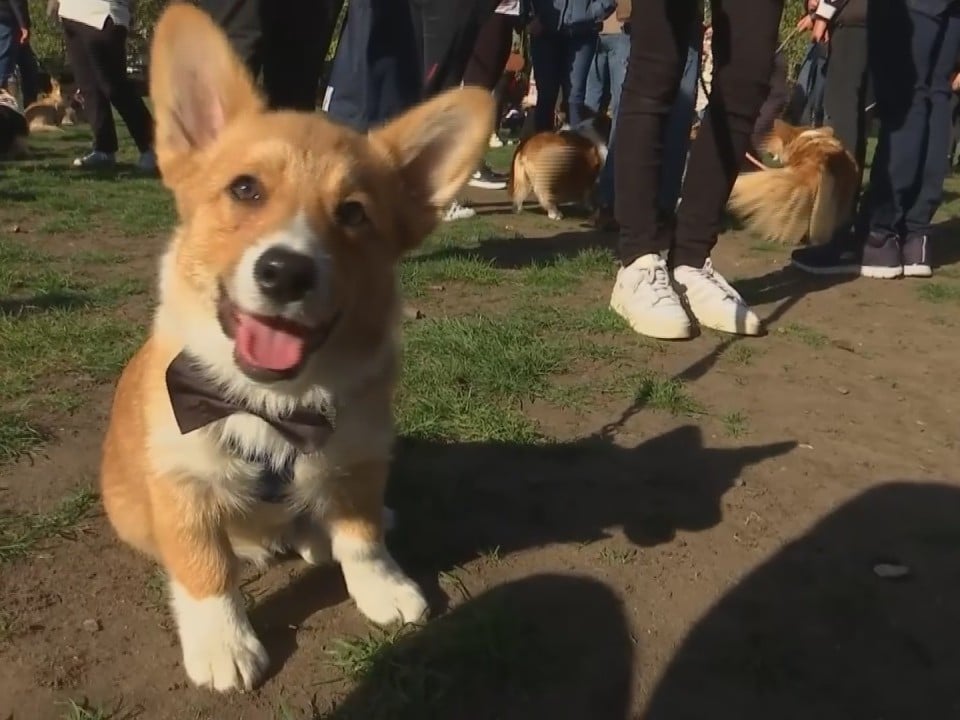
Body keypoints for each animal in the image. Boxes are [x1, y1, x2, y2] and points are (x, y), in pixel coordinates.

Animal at [98, 2, 496, 696]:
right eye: (245, 190)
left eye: (354, 213)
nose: (286, 272)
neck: (272, 403)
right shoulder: (183, 482)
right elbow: (205, 570)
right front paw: (224, 645)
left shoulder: (358, 455)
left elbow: (361, 535)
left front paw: (384, 589)